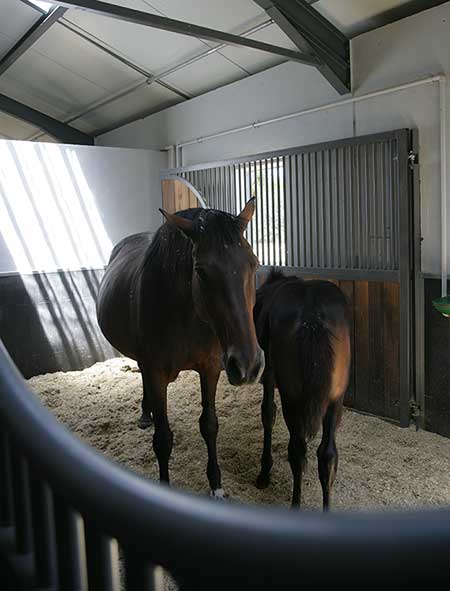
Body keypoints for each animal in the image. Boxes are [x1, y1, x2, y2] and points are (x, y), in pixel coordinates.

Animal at [95, 201, 264, 498]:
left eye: (253, 264)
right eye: (201, 271)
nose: (248, 365)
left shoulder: (210, 369)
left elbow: (209, 425)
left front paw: (216, 486)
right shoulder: (156, 373)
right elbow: (163, 439)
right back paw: (145, 414)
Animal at [255, 270, 350, 512]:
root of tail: (312, 314)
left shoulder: (269, 373)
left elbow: (268, 413)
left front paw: (264, 472)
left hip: (292, 398)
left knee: (298, 450)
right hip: (335, 400)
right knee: (327, 455)